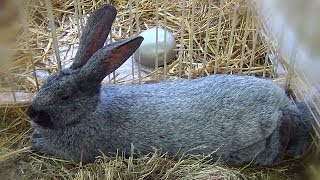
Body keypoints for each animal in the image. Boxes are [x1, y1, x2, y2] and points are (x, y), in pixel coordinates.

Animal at [26, 4, 312, 167]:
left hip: (257, 129)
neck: (91, 111)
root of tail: (281, 101)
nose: (31, 113)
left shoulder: (80, 149)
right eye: (46, 84)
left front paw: (37, 142)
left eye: (64, 96)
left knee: (280, 130)